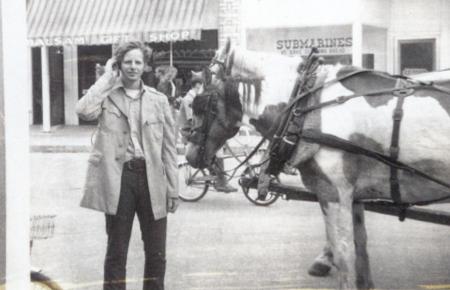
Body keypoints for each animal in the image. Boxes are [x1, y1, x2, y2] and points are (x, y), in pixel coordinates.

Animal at [183, 40, 450, 288]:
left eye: (200, 103)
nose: (189, 155)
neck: (306, 104)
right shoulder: (352, 195)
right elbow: (360, 247)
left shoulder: (333, 192)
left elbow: (344, 255)